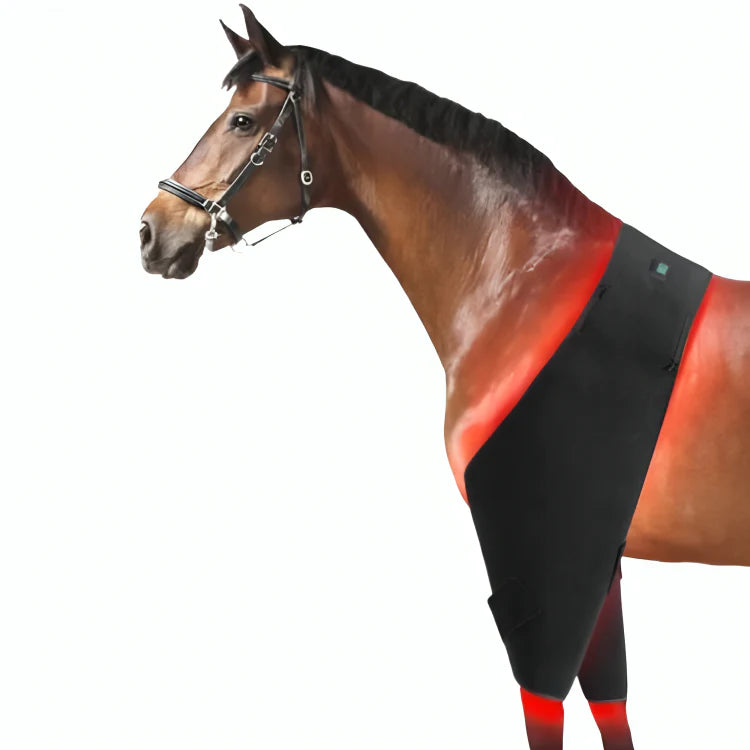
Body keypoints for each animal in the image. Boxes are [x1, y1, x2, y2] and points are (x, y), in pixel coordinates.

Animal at [139, 7, 750, 749]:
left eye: (243, 122)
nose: (151, 231)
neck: (523, 280)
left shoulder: (541, 564)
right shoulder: (597, 563)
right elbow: (612, 703)